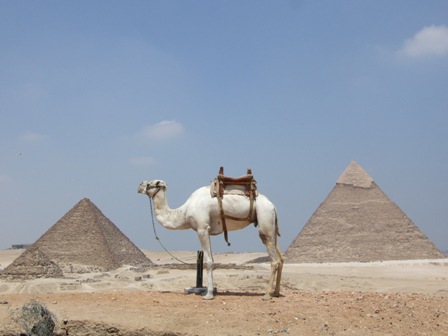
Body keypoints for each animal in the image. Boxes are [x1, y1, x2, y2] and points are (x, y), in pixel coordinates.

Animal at [137, 178, 284, 300]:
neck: (184, 212)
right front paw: (209, 291)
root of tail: (273, 206)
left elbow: (209, 261)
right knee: (280, 258)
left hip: (264, 217)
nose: (139, 185)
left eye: (151, 183)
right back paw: (276, 292)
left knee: (274, 259)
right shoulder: (206, 229)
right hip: (271, 225)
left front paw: (208, 294)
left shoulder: (202, 228)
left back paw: (267, 294)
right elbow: (210, 259)